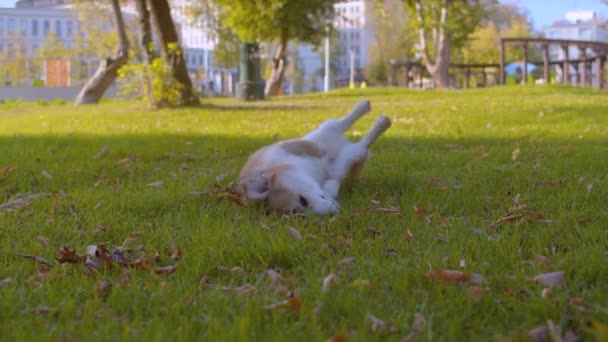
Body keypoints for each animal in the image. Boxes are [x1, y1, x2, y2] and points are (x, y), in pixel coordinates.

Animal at [235, 99, 392, 215]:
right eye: (298, 213)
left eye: (302, 199)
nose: (332, 213)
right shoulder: (343, 163)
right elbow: (363, 145)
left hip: (323, 131)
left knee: (342, 121)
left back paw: (369, 108)